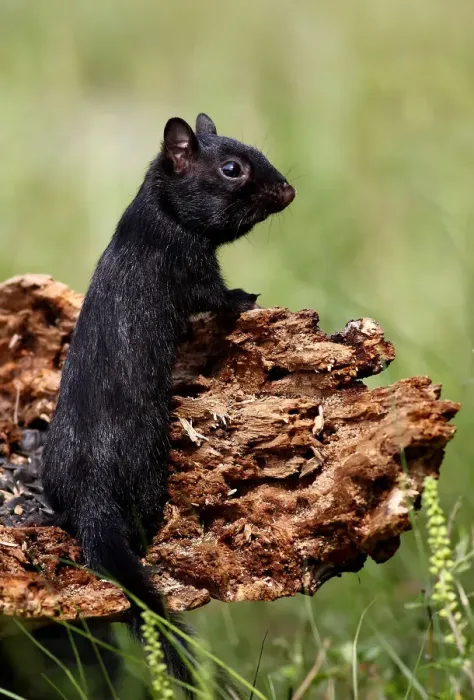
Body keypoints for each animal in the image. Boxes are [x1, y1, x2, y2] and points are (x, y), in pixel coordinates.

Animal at [40, 113, 296, 692]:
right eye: (232, 168)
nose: (289, 190)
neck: (152, 221)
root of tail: (89, 492)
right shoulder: (189, 267)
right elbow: (216, 298)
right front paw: (246, 298)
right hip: (147, 474)